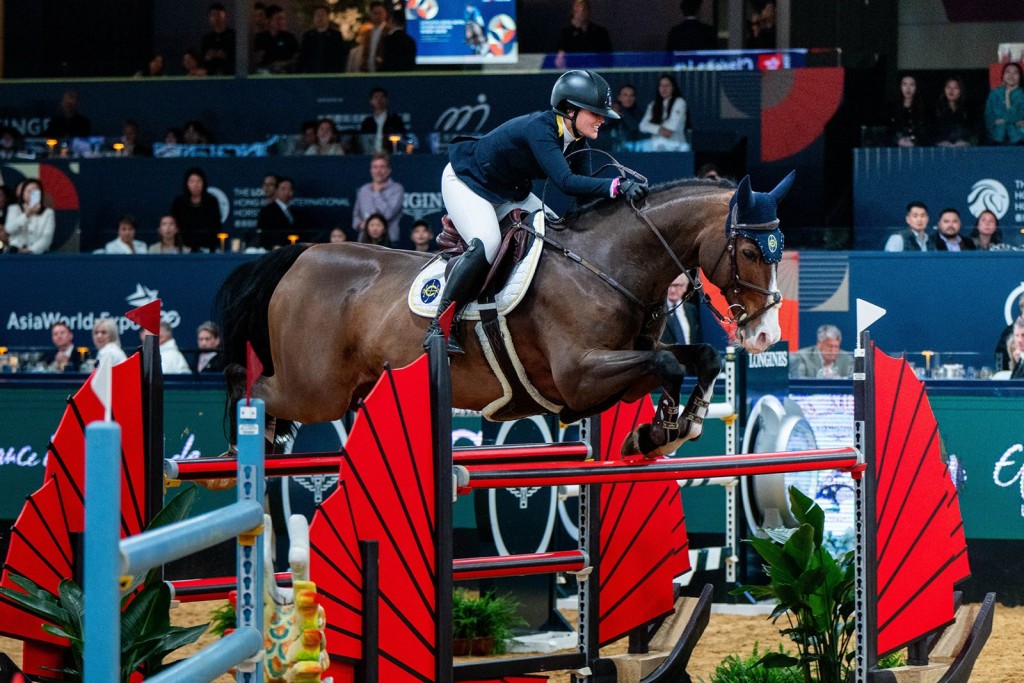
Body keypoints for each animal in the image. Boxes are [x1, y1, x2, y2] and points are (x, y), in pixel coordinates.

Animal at [217, 173, 793, 457]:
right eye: (748, 251)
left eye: (779, 250)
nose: (766, 335)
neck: (607, 263)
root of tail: (302, 253)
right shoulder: (579, 375)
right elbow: (670, 366)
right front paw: (661, 431)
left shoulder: (629, 358)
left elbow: (701, 356)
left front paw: (676, 425)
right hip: (316, 388)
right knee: (254, 388)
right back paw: (240, 454)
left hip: (344, 389)